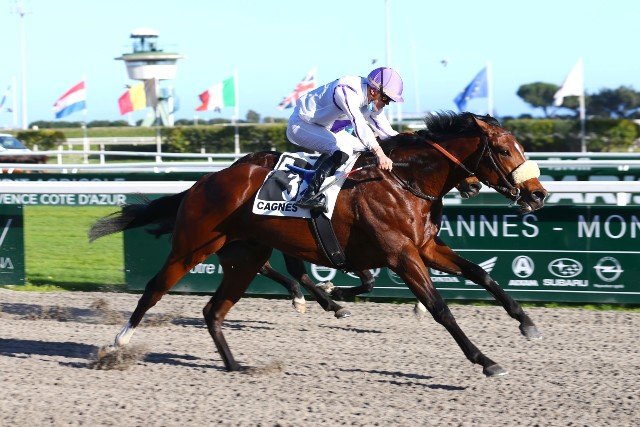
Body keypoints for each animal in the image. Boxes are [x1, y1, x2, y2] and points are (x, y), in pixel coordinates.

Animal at [90, 112, 547, 377]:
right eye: (504, 150)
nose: (539, 195)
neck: (404, 181)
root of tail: (202, 183)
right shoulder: (401, 255)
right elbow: (439, 307)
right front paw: (485, 360)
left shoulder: (425, 248)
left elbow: (481, 274)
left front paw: (526, 322)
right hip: (191, 246)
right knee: (155, 289)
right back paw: (118, 344)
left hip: (244, 257)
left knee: (214, 310)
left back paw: (237, 365)